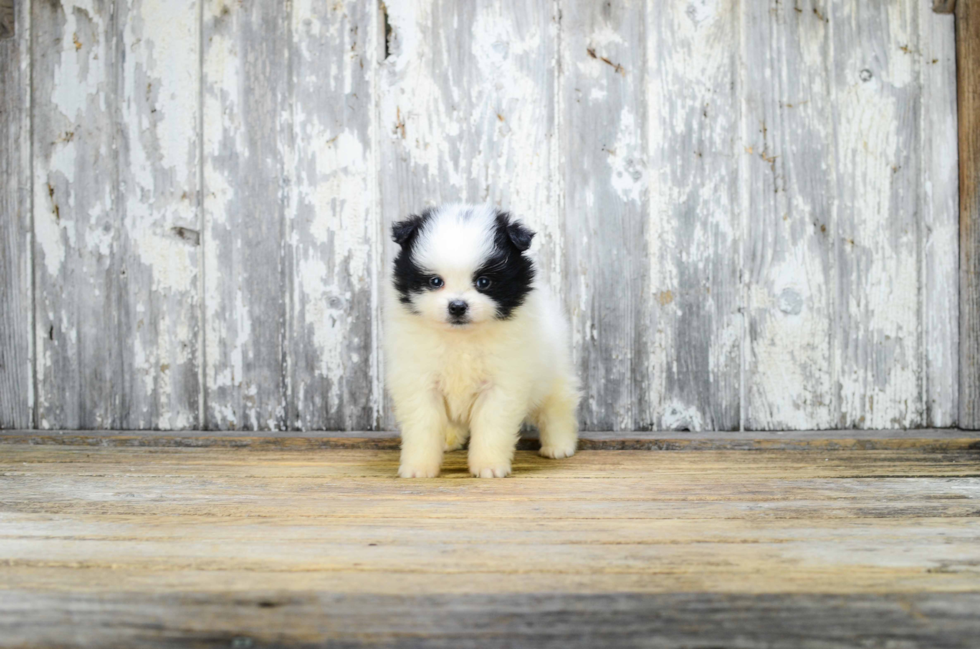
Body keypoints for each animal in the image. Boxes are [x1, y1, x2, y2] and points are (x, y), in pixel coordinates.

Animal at [384, 202, 580, 476]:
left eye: (483, 282)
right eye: (435, 282)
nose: (457, 306)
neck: (461, 338)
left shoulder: (501, 384)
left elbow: (491, 427)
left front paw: (489, 466)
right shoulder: (420, 382)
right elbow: (423, 426)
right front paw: (418, 468)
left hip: (554, 373)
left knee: (557, 408)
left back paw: (559, 446)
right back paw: (449, 440)